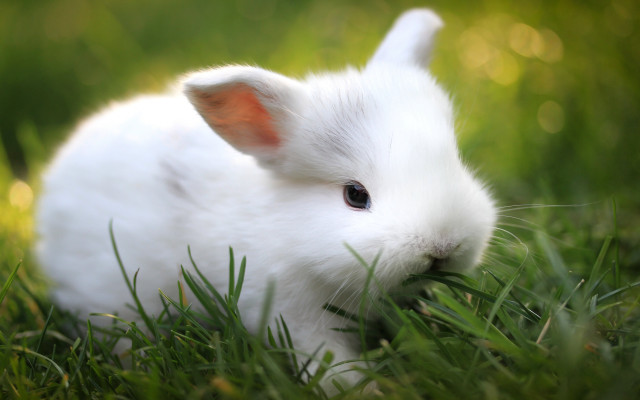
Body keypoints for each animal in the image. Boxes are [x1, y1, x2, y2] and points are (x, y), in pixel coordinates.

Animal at [36, 8, 496, 392]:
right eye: (355, 195)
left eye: (454, 161)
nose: (443, 246)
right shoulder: (292, 314)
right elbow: (328, 361)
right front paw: (361, 389)